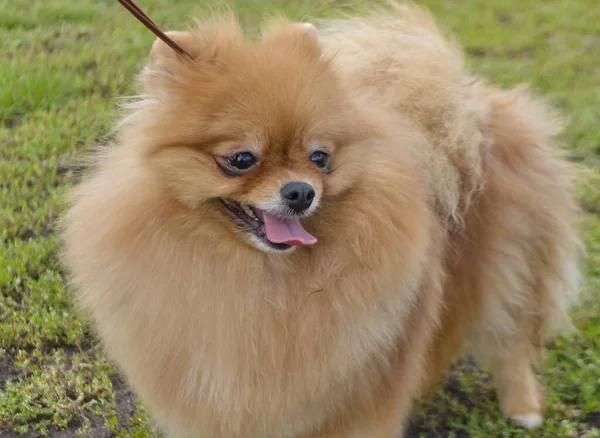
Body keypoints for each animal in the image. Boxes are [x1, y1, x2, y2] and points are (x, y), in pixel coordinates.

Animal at [61, 4, 580, 438]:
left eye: (319, 158)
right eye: (241, 160)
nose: (300, 191)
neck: (261, 286)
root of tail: (473, 105)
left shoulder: (363, 397)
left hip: (509, 267)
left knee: (511, 341)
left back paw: (524, 410)